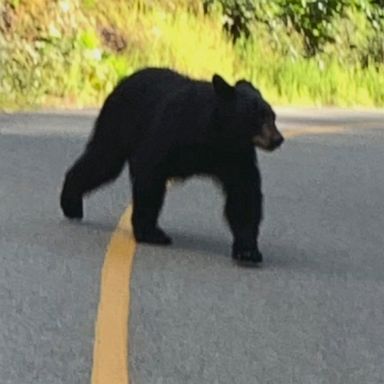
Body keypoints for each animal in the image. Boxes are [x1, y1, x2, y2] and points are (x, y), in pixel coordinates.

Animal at [59, 67, 282, 264]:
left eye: (272, 116)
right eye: (257, 117)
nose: (278, 139)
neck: (216, 134)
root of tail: (124, 80)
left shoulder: (235, 155)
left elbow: (243, 193)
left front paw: (248, 251)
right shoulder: (172, 131)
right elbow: (149, 170)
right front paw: (151, 233)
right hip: (119, 121)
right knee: (104, 159)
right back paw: (71, 203)